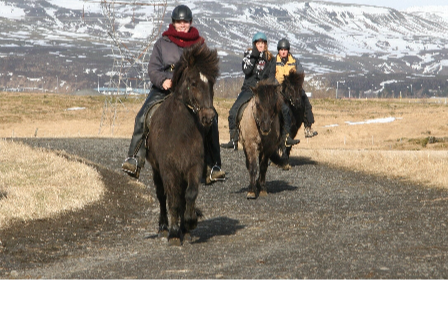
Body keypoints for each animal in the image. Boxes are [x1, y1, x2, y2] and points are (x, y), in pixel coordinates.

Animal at [146, 43, 220, 245]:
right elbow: (172, 200)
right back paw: (164, 227)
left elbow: (190, 194)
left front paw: (188, 224)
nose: (208, 117)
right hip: (156, 169)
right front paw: (173, 233)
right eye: (193, 83)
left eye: (211, 83)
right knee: (162, 195)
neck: (180, 132)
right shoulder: (169, 168)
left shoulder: (193, 166)